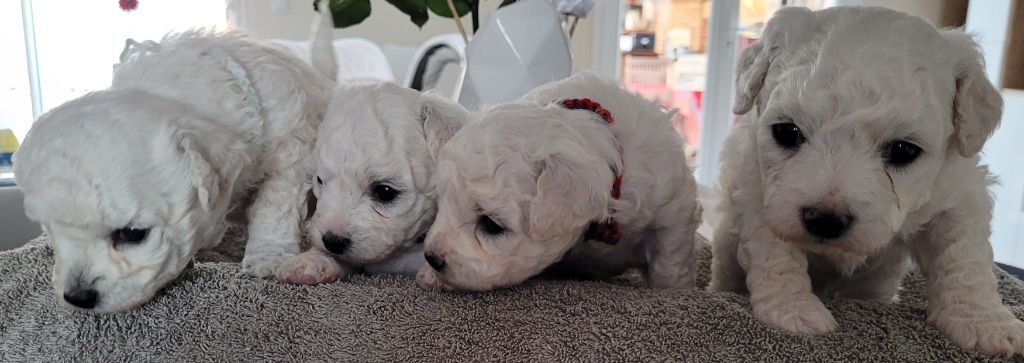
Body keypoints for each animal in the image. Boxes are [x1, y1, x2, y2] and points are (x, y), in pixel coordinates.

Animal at [16, 31, 329, 313]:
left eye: (133, 234)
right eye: (50, 231)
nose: (78, 298)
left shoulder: (291, 149)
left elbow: (273, 207)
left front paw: (269, 257)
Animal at [411, 72, 700, 291]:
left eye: (491, 225)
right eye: (443, 204)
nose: (432, 257)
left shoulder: (674, 206)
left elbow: (669, 260)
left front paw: (675, 292)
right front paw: (429, 275)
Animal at [712, 7, 1024, 356]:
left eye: (903, 150)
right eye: (786, 132)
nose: (824, 220)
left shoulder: (958, 194)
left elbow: (965, 258)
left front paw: (985, 324)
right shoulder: (758, 188)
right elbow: (776, 251)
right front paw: (792, 311)